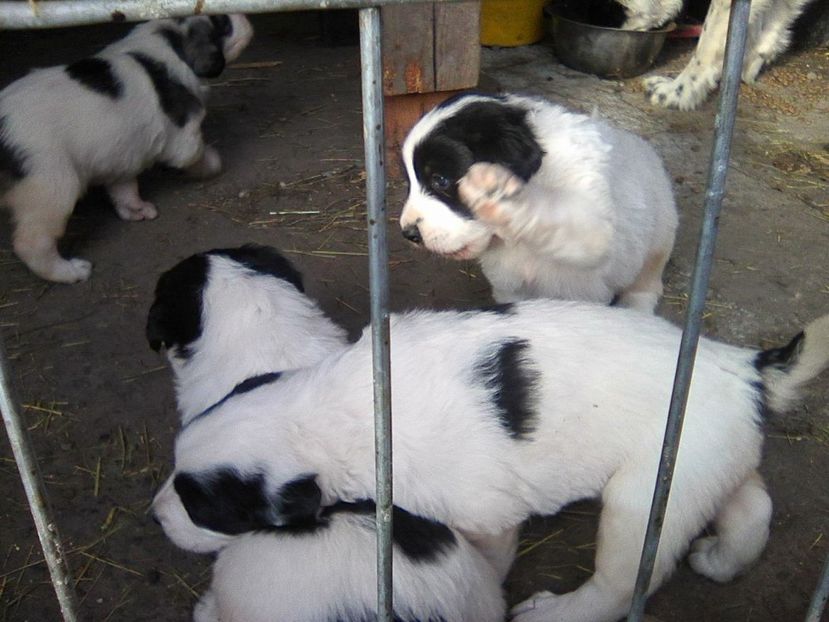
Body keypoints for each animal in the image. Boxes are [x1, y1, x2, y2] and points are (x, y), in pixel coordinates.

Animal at [0, 14, 252, 282]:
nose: (244, 17)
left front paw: (136, 210)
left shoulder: (121, 154)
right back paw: (70, 272)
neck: (164, 47)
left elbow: (125, 188)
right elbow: (198, 157)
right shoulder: (185, 139)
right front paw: (210, 165)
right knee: (31, 243)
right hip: (52, 187)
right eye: (223, 23)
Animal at [160, 294, 828, 622]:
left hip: (645, 498)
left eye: (207, 509)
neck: (334, 408)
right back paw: (721, 561)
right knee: (753, 507)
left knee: (620, 585)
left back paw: (553, 615)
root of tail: (745, 365)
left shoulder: (485, 515)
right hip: (703, 465)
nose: (154, 517)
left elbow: (489, 563)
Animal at [402, 92, 680, 314]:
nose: (408, 233)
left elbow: (554, 215)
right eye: (411, 182)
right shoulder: (510, 288)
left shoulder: (593, 228)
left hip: (660, 235)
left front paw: (496, 191)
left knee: (647, 283)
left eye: (440, 180)